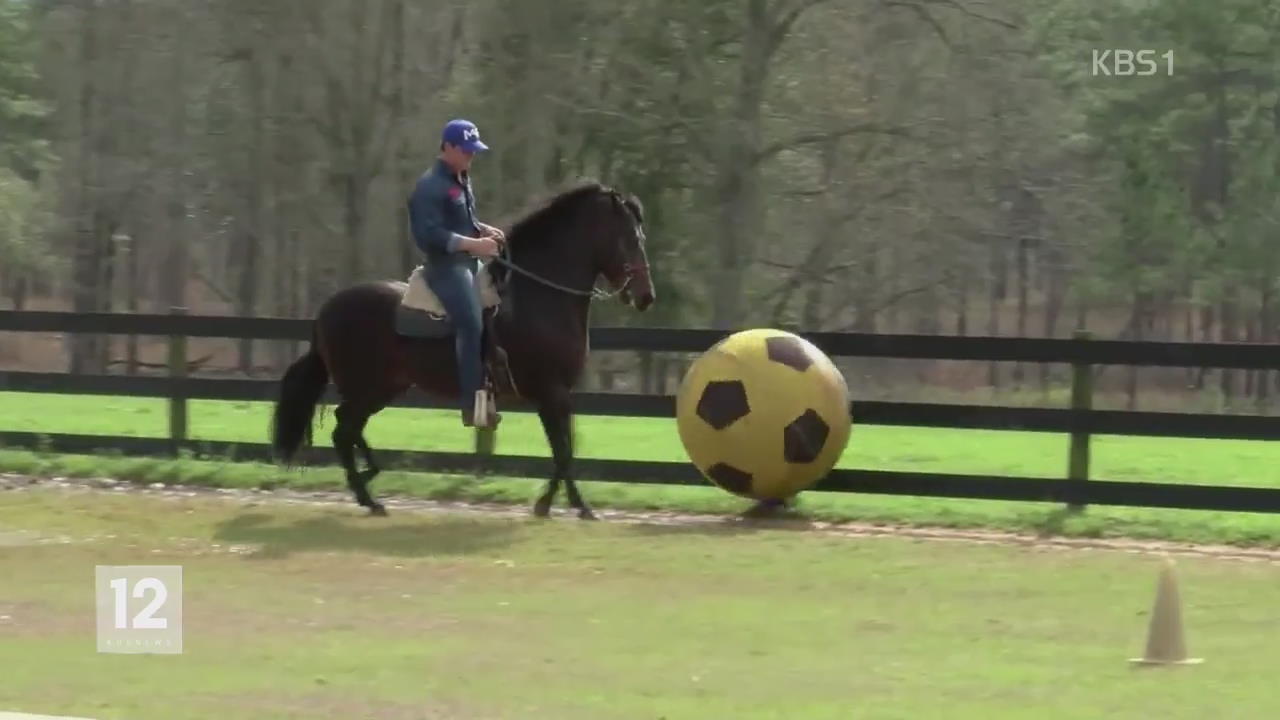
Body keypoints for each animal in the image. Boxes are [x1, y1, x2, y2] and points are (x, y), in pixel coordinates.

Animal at [267, 179, 650, 515]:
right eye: (630, 238)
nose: (646, 296)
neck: (537, 297)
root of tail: (327, 309)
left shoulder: (558, 397)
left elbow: (566, 448)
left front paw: (549, 504)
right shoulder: (551, 392)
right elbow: (564, 451)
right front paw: (577, 507)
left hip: (382, 389)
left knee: (347, 430)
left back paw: (369, 483)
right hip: (366, 388)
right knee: (343, 431)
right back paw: (369, 496)